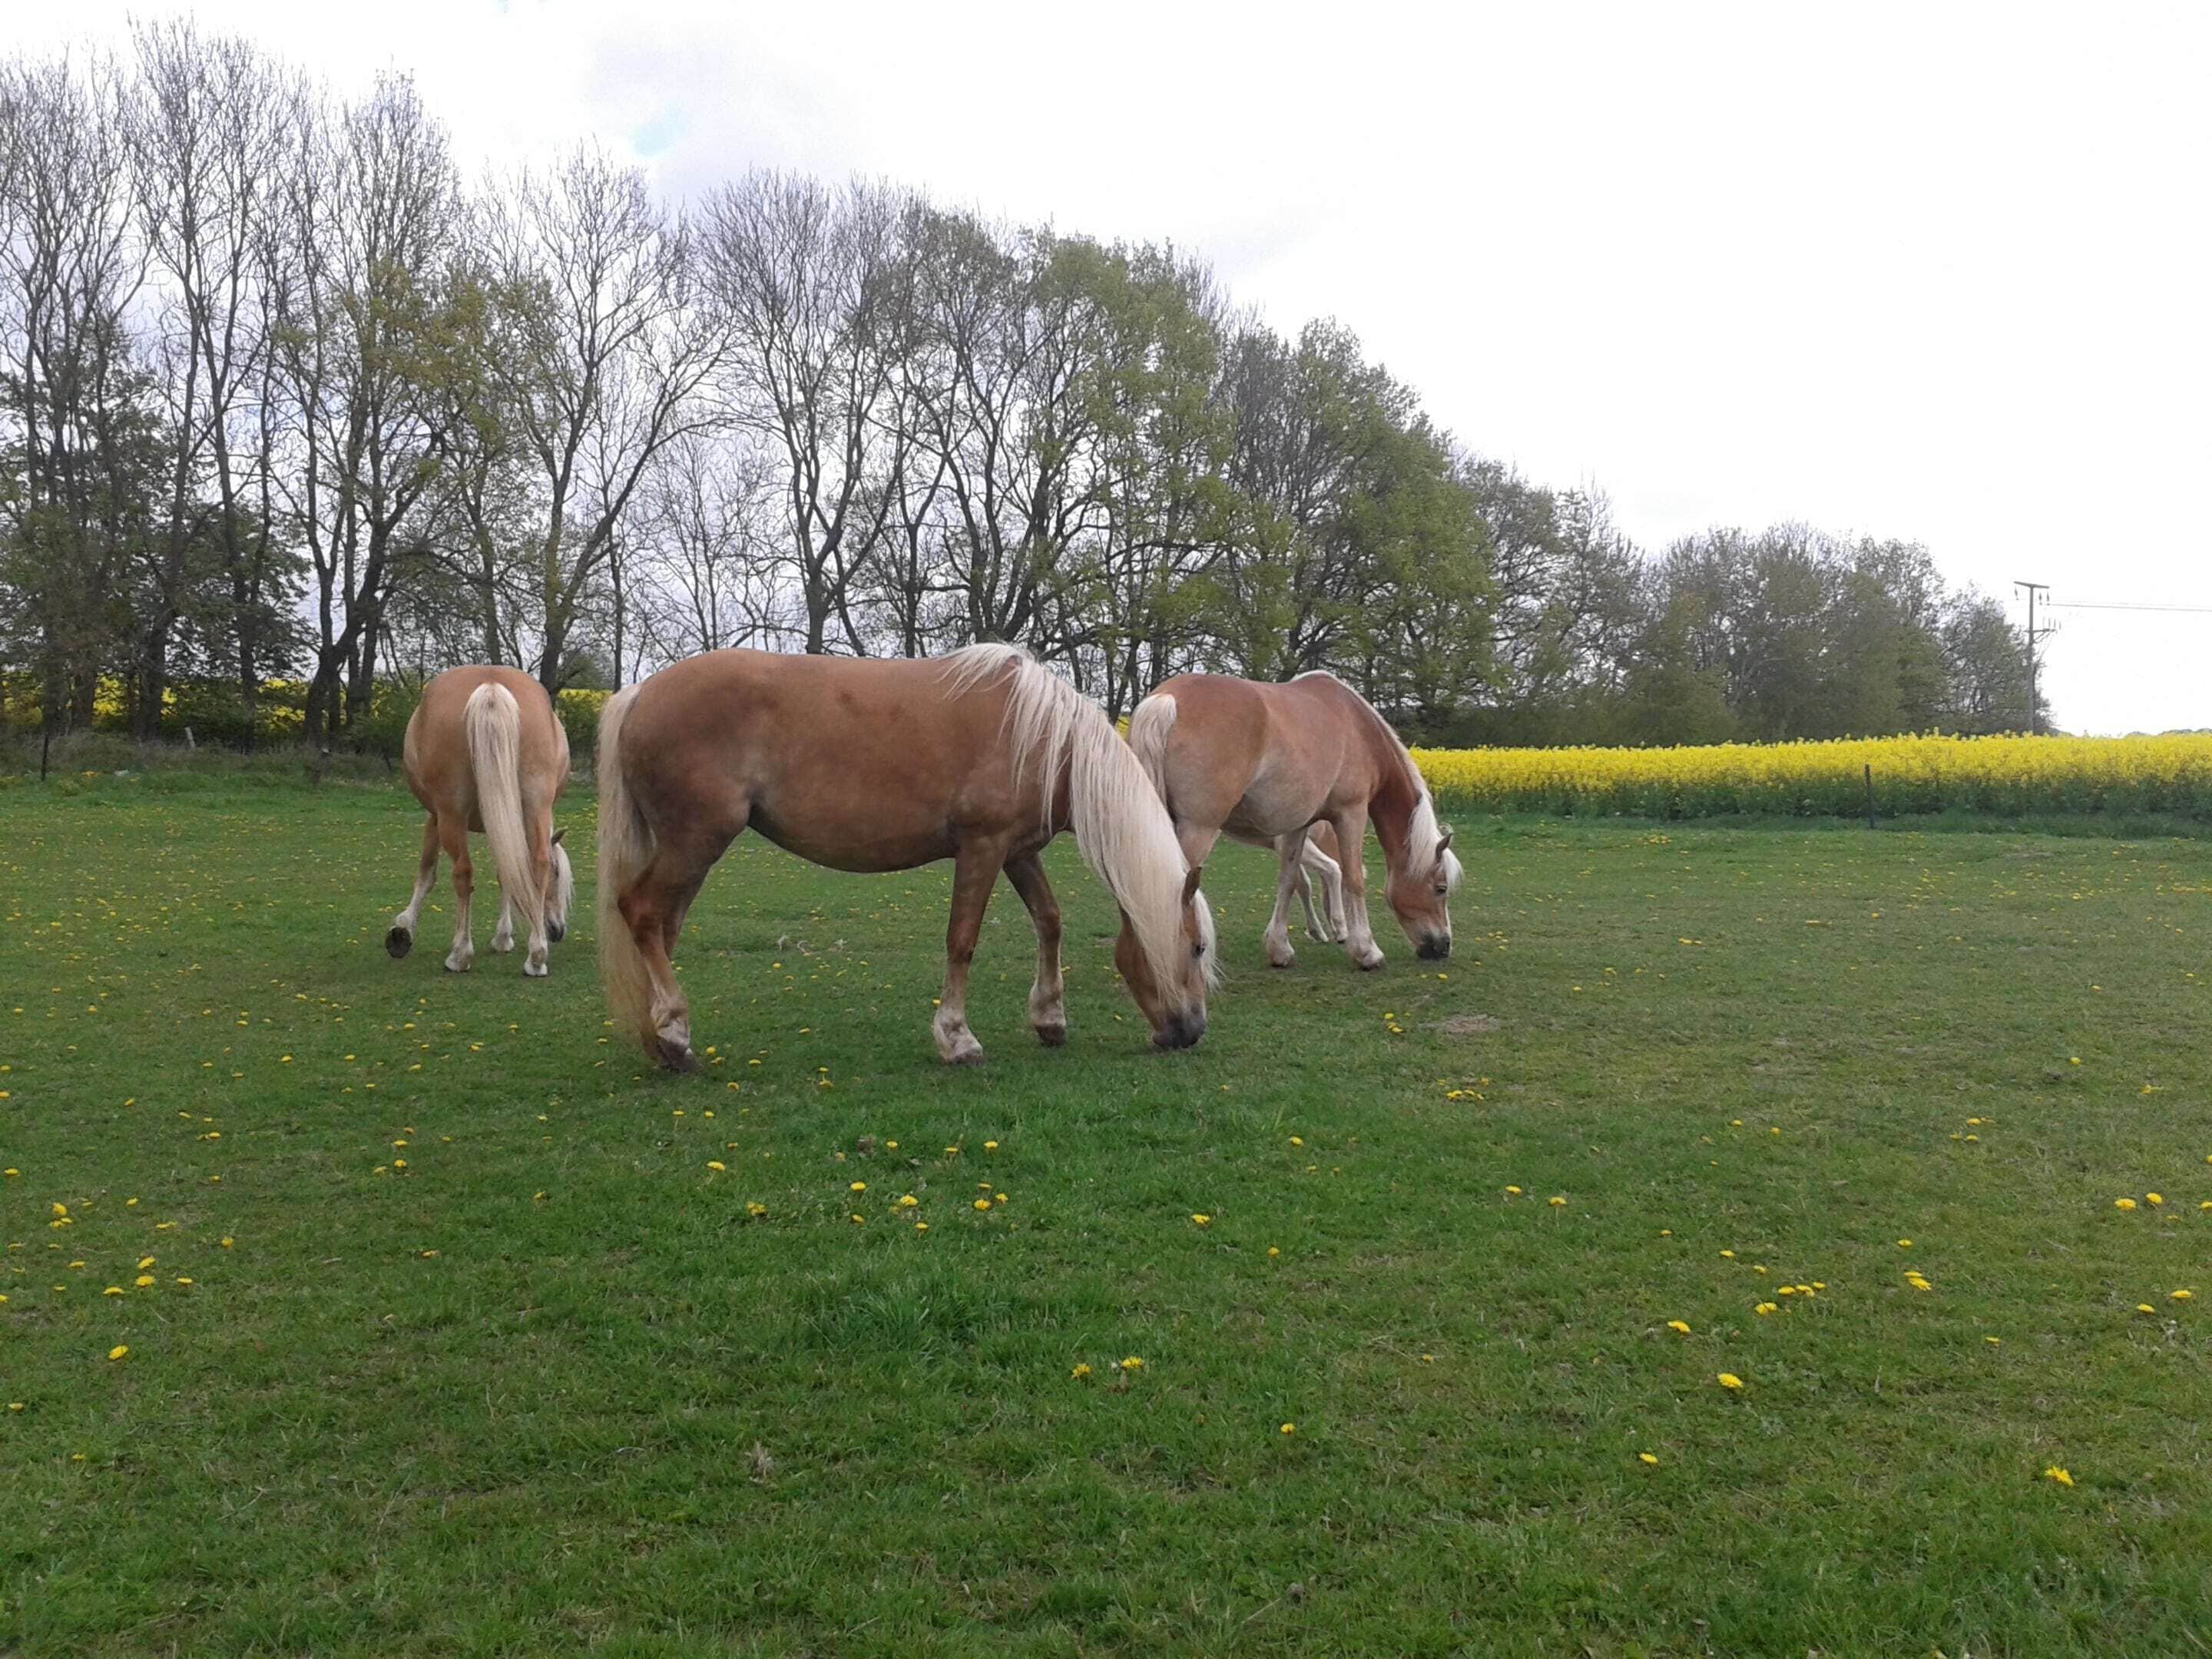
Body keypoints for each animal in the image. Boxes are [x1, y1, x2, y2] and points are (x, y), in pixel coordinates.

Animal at [386, 665, 576, 977]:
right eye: (558, 874)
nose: (558, 931)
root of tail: (491, 685)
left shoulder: (435, 817)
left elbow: (426, 873)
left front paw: (402, 930)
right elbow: (509, 873)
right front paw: (504, 938)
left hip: (451, 814)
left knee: (463, 873)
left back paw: (460, 954)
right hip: (535, 804)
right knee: (535, 863)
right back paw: (536, 958)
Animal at [594, 643, 1214, 1071]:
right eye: (1197, 947)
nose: (1192, 1032)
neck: (1041, 737)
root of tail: (640, 693)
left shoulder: (1017, 853)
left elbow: (1050, 922)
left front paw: (1050, 1019)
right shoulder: (982, 847)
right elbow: (962, 941)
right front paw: (958, 1039)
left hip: (691, 853)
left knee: (662, 928)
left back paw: (663, 1039)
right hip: (694, 842)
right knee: (642, 913)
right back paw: (673, 1034)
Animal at [1128, 671, 1462, 970]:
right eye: (1441, 888)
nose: (1444, 947)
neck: (1358, 727)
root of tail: (1166, 701)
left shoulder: (1297, 826)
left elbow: (1290, 880)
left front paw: (1280, 950)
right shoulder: (1351, 813)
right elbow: (1353, 878)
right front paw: (1367, 951)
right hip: (1198, 830)